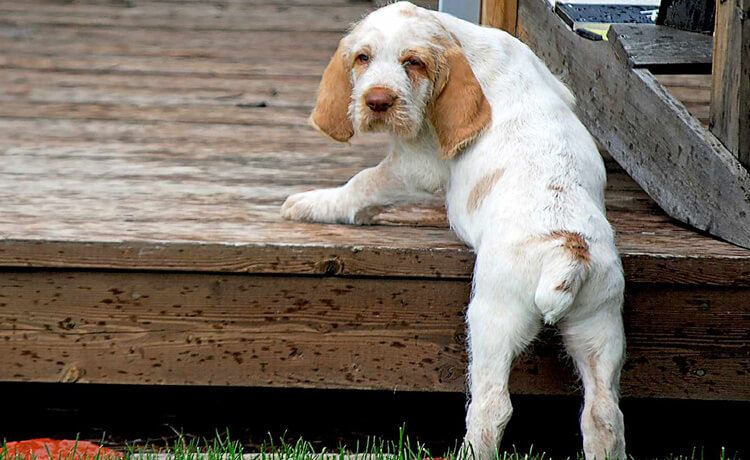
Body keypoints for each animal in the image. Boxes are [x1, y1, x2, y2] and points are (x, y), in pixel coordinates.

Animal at [282, 1, 628, 458]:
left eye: (413, 63)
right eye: (363, 58)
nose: (377, 101)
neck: (467, 45)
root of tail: (568, 251)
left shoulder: (417, 165)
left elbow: (364, 182)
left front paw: (314, 204)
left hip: (494, 319)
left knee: (492, 406)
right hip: (600, 322)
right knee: (604, 414)